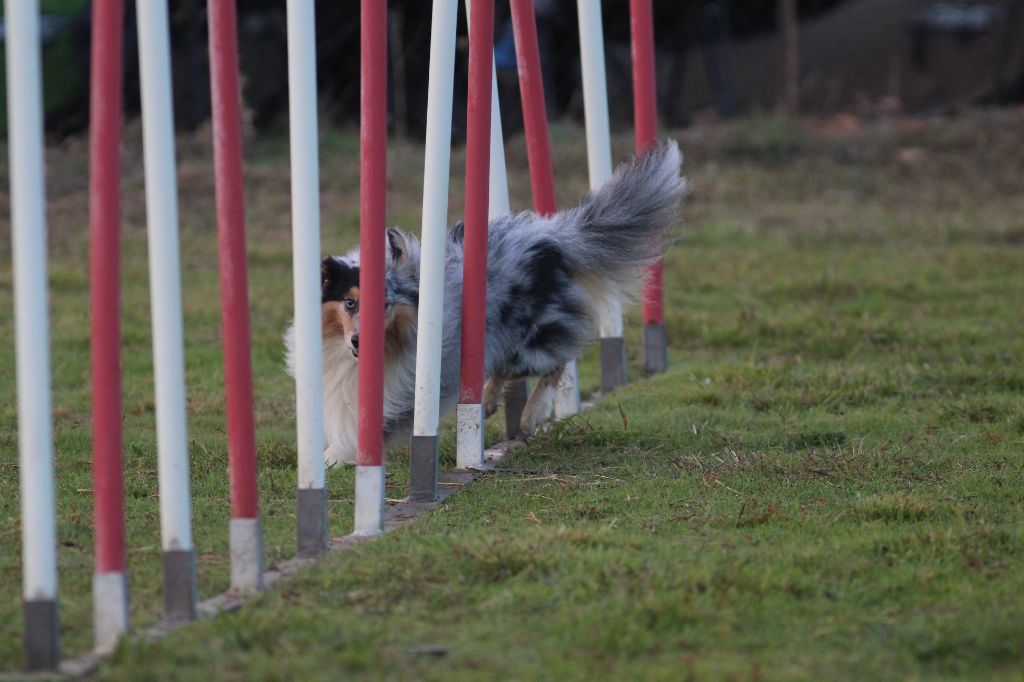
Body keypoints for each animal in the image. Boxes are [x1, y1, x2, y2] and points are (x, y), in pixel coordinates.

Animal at [286, 140, 688, 464]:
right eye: (349, 303)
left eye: (384, 304)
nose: (358, 341)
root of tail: (553, 236)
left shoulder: (404, 391)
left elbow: (361, 428)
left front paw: (332, 458)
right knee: (501, 368)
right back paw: (490, 400)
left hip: (531, 337)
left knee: (555, 362)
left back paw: (531, 414)